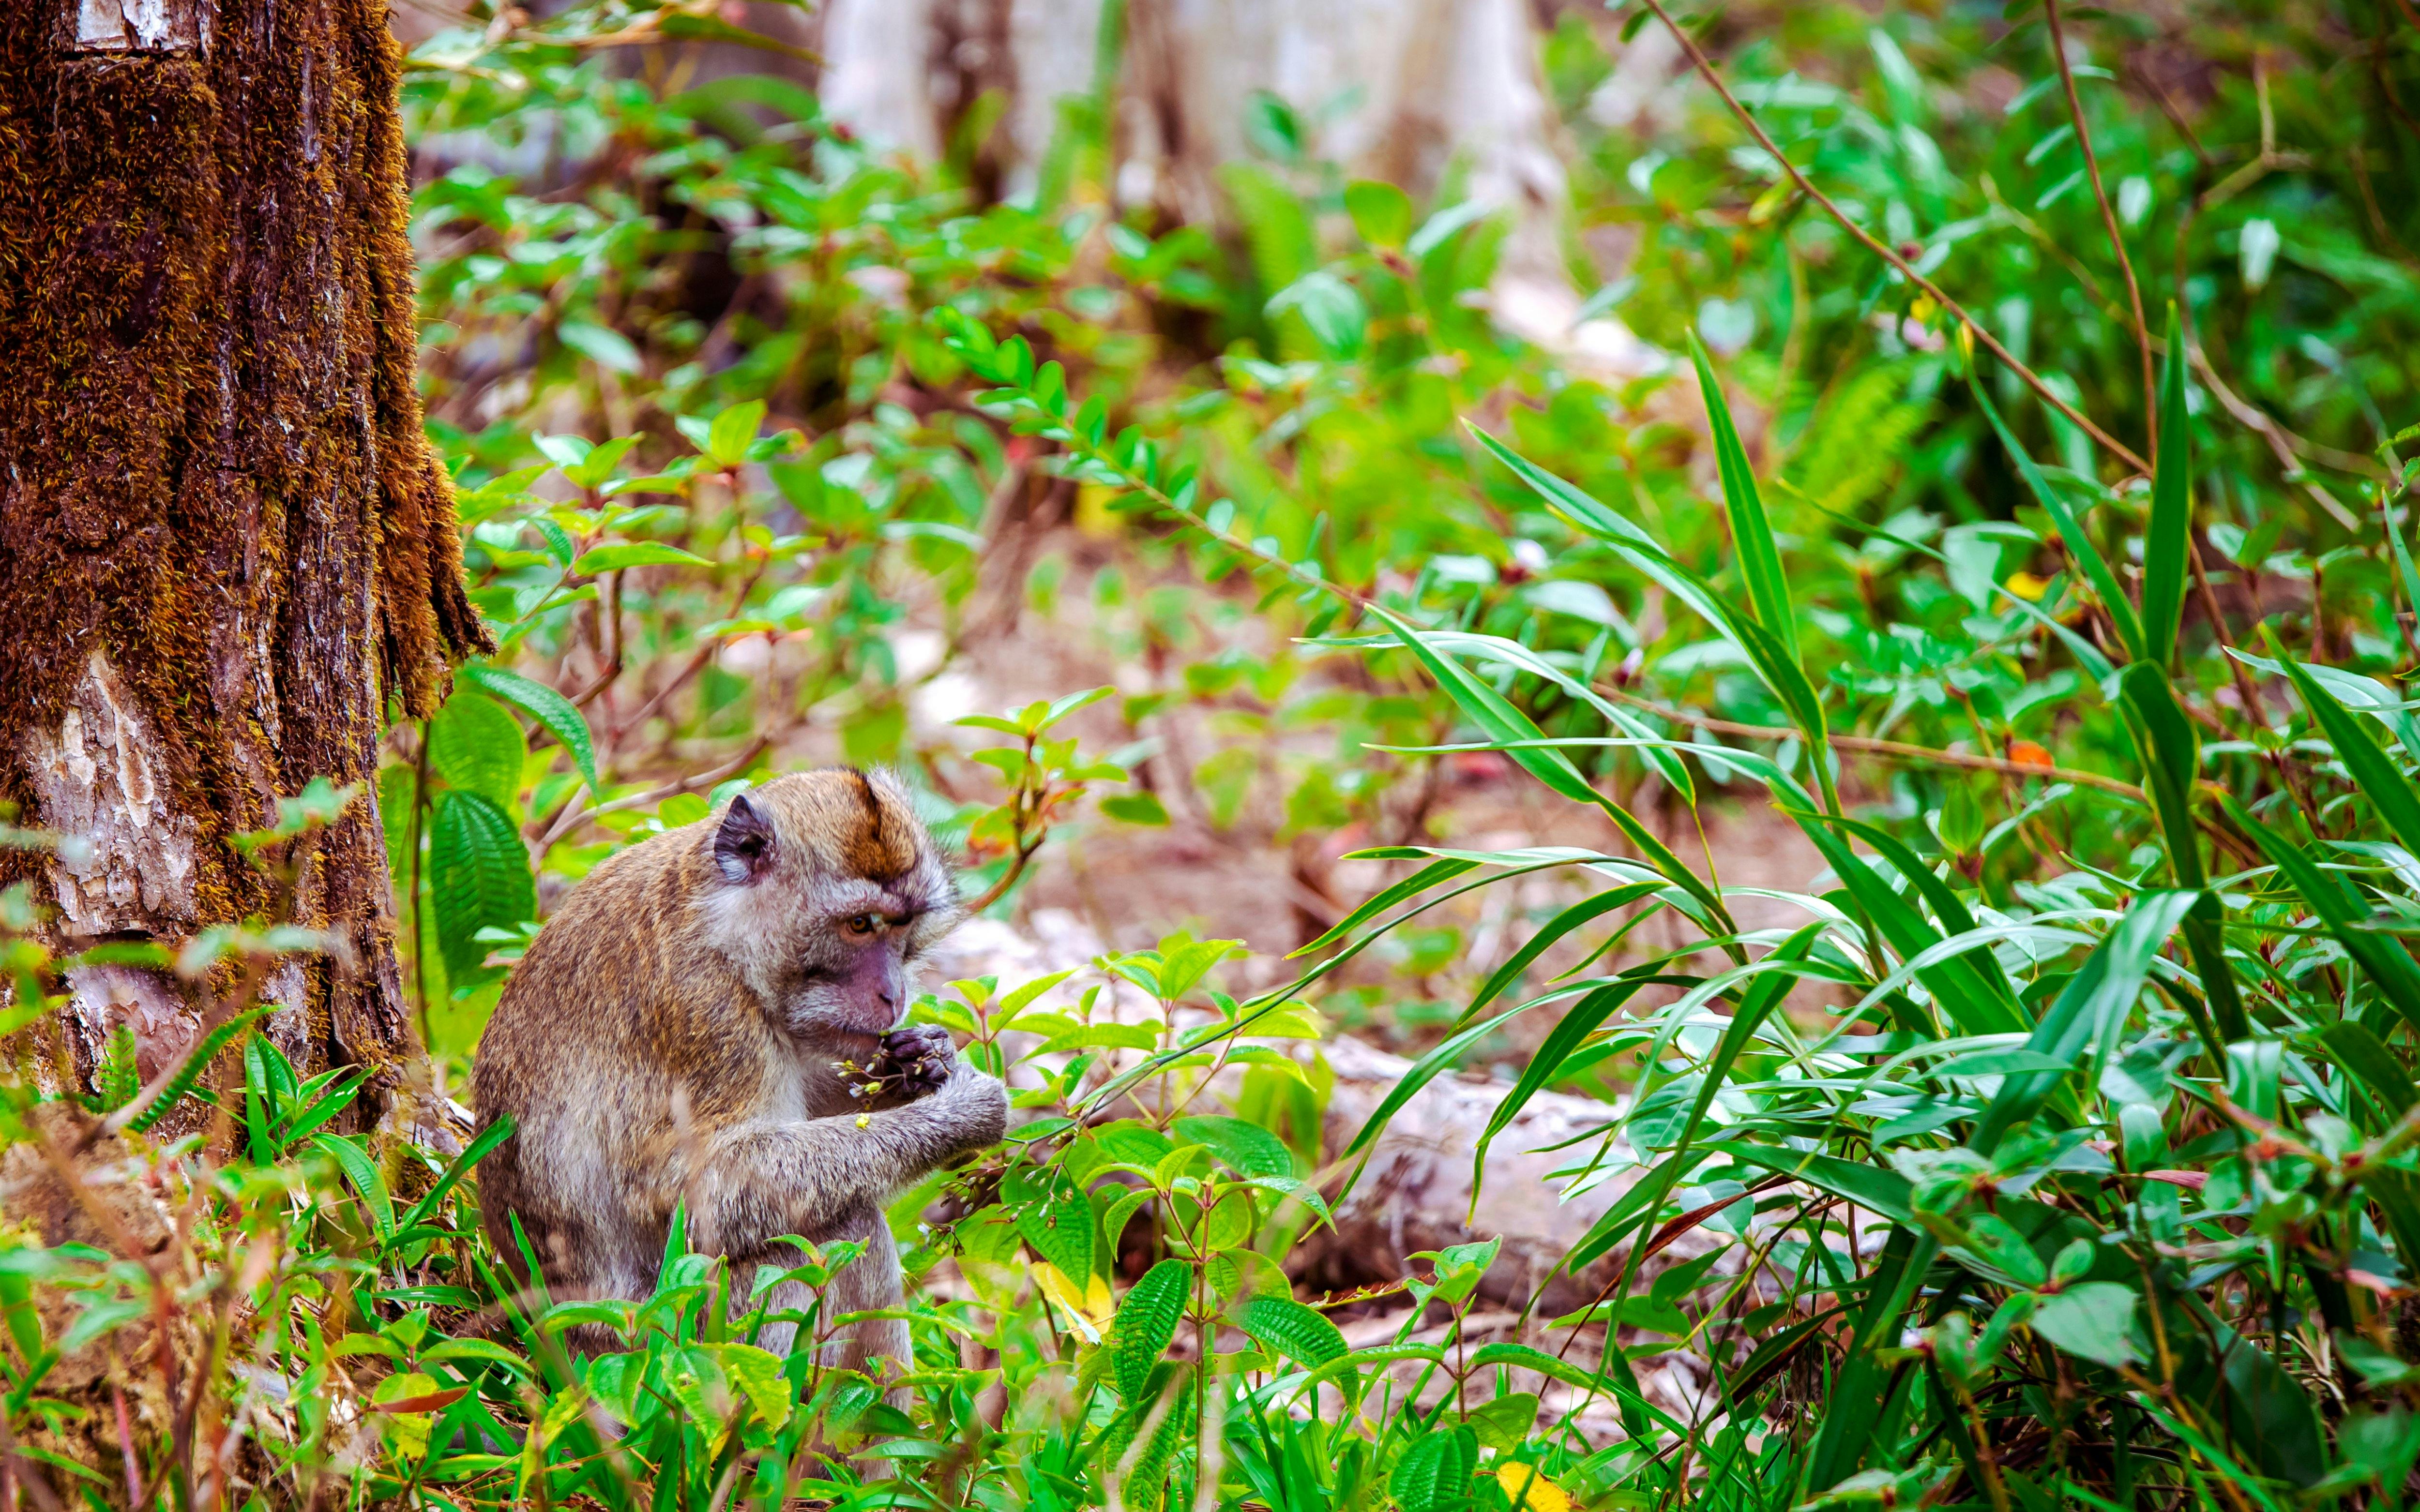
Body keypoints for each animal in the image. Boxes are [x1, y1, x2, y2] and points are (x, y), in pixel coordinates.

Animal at [469, 767, 1007, 1373]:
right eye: (859, 924)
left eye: (902, 926)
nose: (893, 994)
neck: (723, 929)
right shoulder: (711, 1018)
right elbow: (704, 1190)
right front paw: (961, 1113)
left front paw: (922, 1058)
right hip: (690, 1342)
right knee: (841, 1225)